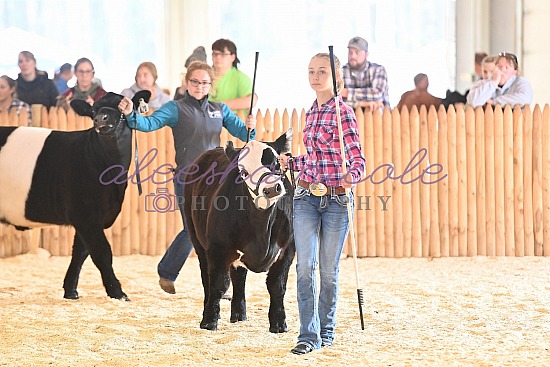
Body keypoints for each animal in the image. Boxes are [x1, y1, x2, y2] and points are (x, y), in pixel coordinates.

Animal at [0, 92, 149, 302]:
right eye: (94, 109)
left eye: (121, 105)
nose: (101, 119)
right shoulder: (85, 215)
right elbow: (102, 253)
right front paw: (118, 292)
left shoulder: (91, 218)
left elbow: (80, 253)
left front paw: (70, 291)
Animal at [184, 132, 298, 334]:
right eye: (243, 172)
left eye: (276, 163)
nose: (270, 189)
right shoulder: (218, 248)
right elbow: (218, 285)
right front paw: (209, 322)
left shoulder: (288, 249)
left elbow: (277, 286)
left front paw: (279, 324)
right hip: (197, 240)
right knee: (207, 277)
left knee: (239, 277)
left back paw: (238, 315)